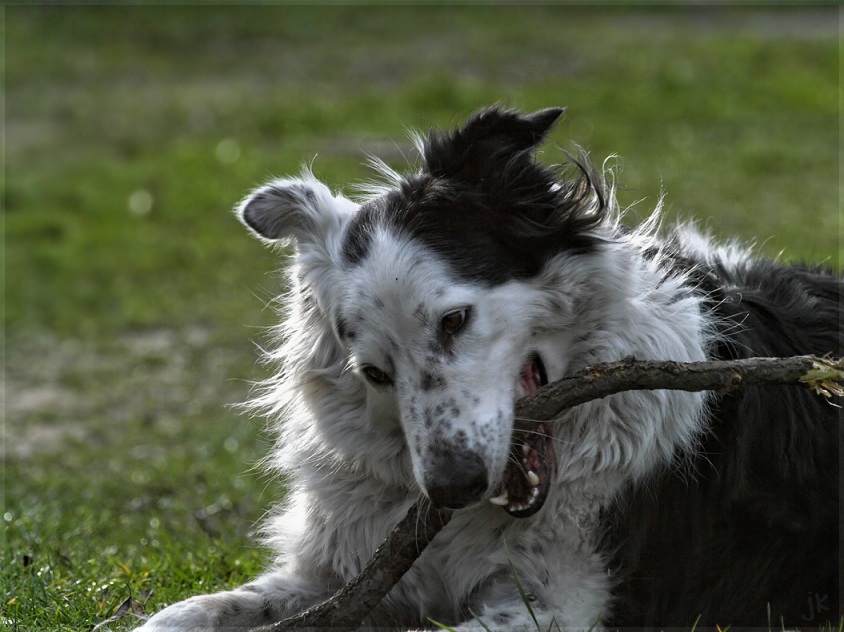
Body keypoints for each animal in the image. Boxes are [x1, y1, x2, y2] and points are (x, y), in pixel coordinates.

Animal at [138, 106, 836, 628]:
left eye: (454, 320)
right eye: (374, 373)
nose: (451, 488)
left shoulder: (566, 601)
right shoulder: (341, 571)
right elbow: (187, 613)